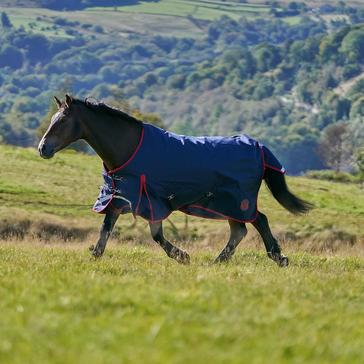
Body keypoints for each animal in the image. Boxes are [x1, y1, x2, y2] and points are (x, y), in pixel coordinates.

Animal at [38, 95, 312, 266]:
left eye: (62, 121)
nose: (43, 149)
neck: (129, 148)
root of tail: (258, 147)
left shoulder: (150, 199)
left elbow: (156, 235)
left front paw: (182, 256)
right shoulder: (121, 195)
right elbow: (107, 226)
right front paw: (95, 255)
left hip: (237, 200)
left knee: (258, 221)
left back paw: (278, 257)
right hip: (228, 204)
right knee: (240, 230)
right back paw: (219, 261)